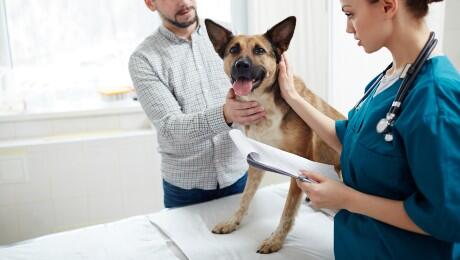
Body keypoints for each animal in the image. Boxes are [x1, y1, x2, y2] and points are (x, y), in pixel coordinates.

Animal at [205, 16, 344, 254]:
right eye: (233, 49)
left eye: (259, 50)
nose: (241, 65)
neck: (264, 103)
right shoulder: (257, 161)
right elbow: (244, 198)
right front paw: (232, 222)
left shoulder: (298, 167)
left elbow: (287, 211)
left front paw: (275, 240)